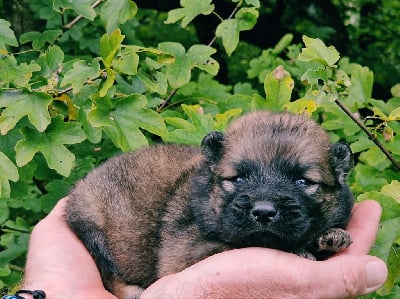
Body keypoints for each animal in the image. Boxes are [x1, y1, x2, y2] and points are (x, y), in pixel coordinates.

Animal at [65, 111, 354, 298]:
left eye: (303, 181)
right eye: (237, 178)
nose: (263, 212)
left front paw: (330, 236)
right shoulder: (186, 252)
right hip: (92, 227)